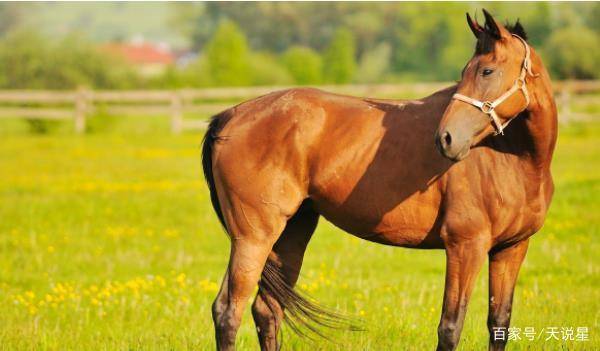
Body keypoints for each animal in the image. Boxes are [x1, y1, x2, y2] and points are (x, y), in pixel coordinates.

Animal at [203, 10, 556, 351]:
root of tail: (230, 116)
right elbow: (450, 327)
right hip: (253, 238)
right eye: (467, 71)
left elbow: (499, 323)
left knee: (267, 310)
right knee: (227, 311)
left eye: (486, 71)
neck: (513, 158)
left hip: (291, 232)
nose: (446, 139)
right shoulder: (465, 246)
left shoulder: (511, 248)